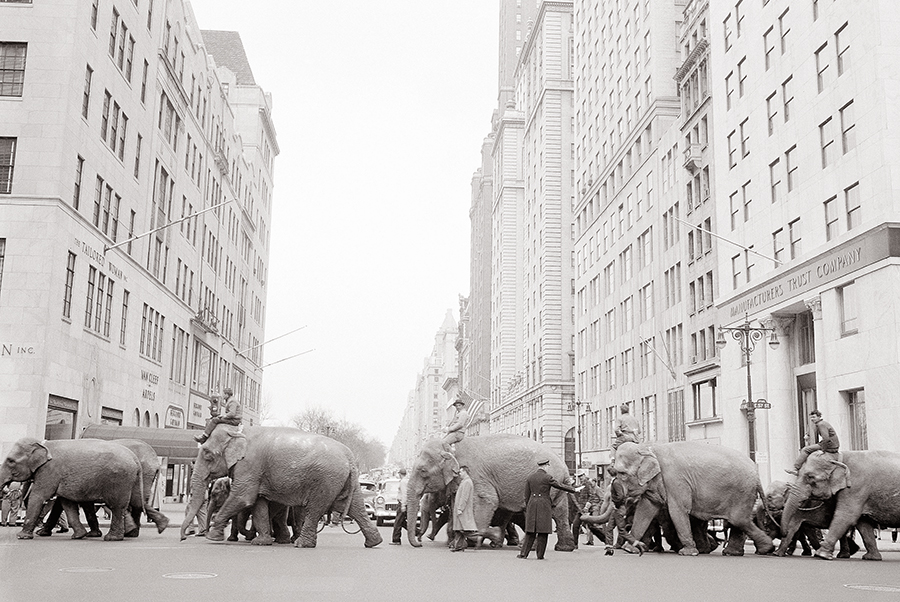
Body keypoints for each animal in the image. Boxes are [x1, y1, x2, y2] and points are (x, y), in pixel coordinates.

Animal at [0, 437, 145, 541]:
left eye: (10, 461)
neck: (43, 443)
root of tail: (135, 459)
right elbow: (67, 503)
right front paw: (78, 536)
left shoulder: (50, 471)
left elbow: (38, 496)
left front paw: (22, 536)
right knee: (125, 506)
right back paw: (127, 533)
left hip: (119, 480)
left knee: (116, 506)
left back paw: (112, 538)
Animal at [179, 426, 381, 548]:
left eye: (207, 454)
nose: (183, 537)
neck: (237, 432)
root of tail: (350, 457)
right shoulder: (256, 472)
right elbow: (258, 503)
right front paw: (261, 542)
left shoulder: (250, 466)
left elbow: (243, 497)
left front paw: (212, 537)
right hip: (343, 482)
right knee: (355, 508)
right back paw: (373, 543)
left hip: (326, 480)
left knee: (316, 508)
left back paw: (301, 544)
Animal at [404, 434, 577, 551]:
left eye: (423, 471)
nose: (420, 543)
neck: (450, 446)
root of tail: (564, 467)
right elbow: (456, 505)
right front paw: (456, 544)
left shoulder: (476, 475)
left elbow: (487, 501)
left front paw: (490, 536)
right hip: (556, 487)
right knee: (559, 512)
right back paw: (563, 548)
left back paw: (523, 546)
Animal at [613, 441, 775, 556]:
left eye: (622, 473)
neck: (649, 447)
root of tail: (757, 473)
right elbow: (645, 509)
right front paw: (629, 549)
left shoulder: (675, 480)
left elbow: (677, 510)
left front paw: (688, 553)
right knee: (739, 521)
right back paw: (736, 552)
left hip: (742, 492)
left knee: (739, 520)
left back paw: (765, 549)